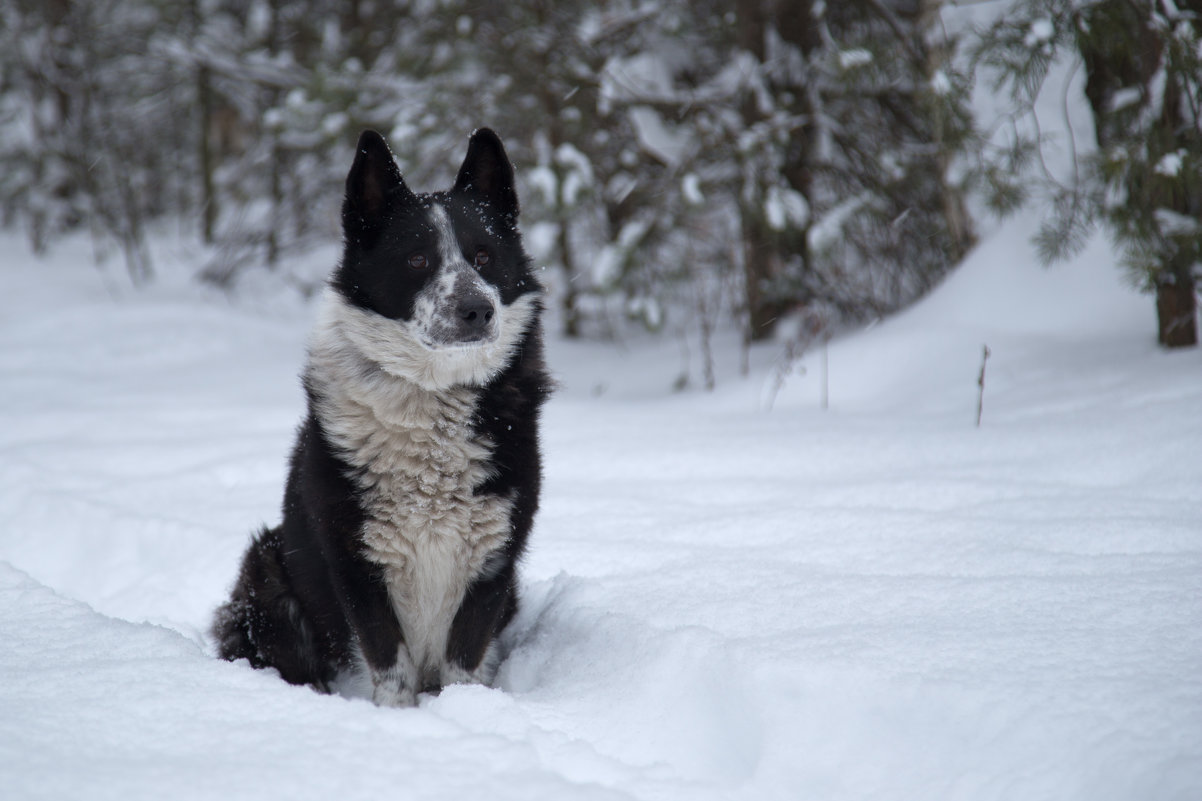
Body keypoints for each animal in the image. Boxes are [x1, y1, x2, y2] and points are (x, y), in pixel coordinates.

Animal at [213, 126, 550, 707]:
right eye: (417, 260)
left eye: (484, 256)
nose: (477, 310)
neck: (432, 401)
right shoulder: (357, 565)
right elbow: (391, 670)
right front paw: (397, 720)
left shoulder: (492, 564)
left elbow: (463, 664)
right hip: (268, 567)